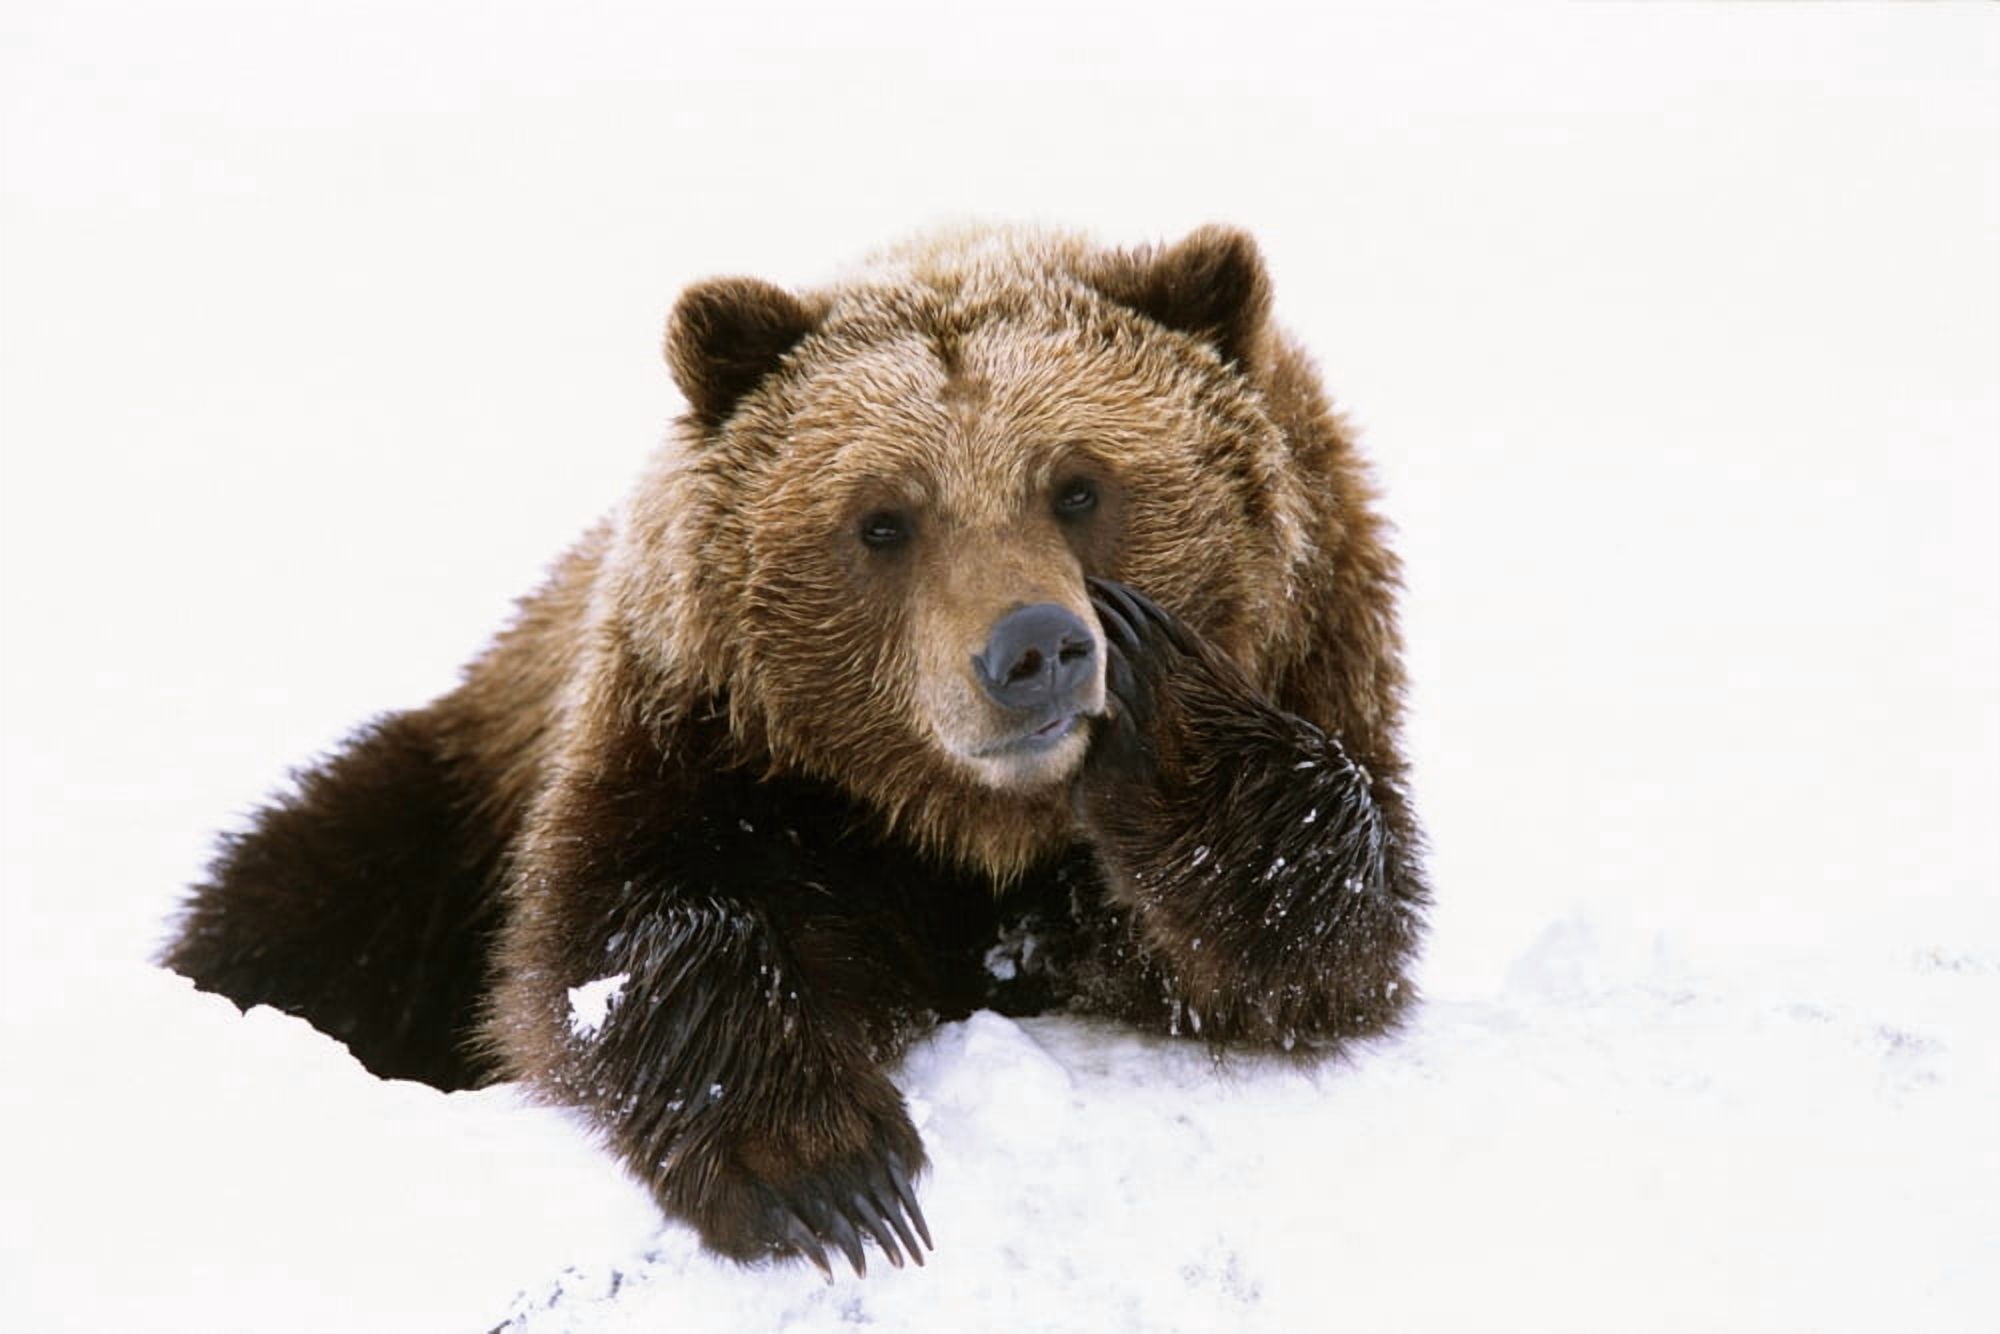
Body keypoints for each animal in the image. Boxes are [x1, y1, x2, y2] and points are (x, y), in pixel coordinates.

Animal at [161, 224, 1428, 1278]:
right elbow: (617, 938)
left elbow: (1306, 942)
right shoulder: (705, 740)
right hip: (446, 796)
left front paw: (1166, 713)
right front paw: (829, 1171)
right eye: (883, 518)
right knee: (301, 892)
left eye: (1078, 485)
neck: (965, 825)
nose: (1038, 649)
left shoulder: (1324, 655)